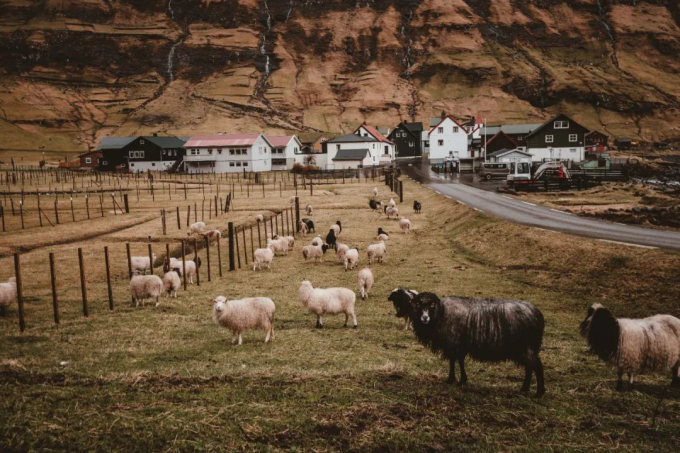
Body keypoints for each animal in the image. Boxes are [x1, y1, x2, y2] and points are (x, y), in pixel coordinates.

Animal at [410, 294, 548, 396]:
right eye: (418, 305)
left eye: (432, 305)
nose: (424, 318)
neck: (441, 313)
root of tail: (536, 313)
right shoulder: (459, 346)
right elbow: (460, 361)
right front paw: (462, 379)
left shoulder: (453, 343)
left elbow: (453, 361)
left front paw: (450, 379)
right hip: (525, 348)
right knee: (529, 367)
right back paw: (524, 388)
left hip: (525, 347)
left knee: (537, 366)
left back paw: (539, 393)